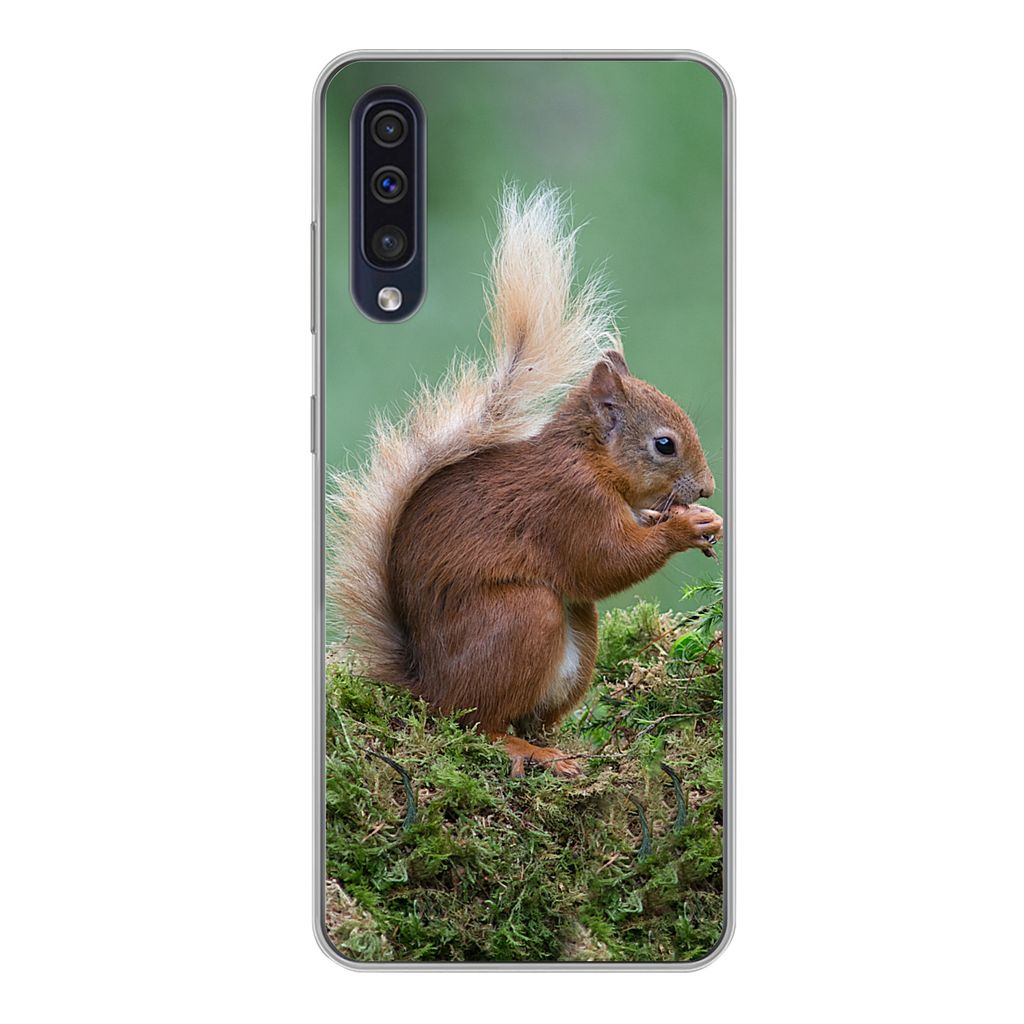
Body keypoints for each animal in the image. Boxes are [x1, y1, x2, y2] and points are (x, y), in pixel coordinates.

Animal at [328, 187, 723, 778]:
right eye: (664, 445)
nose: (709, 489)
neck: (589, 459)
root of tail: (428, 687)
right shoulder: (568, 503)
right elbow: (604, 561)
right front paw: (684, 527)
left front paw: (701, 520)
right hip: (522, 617)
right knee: (478, 723)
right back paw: (524, 751)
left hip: (577, 638)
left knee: (530, 713)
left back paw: (559, 746)